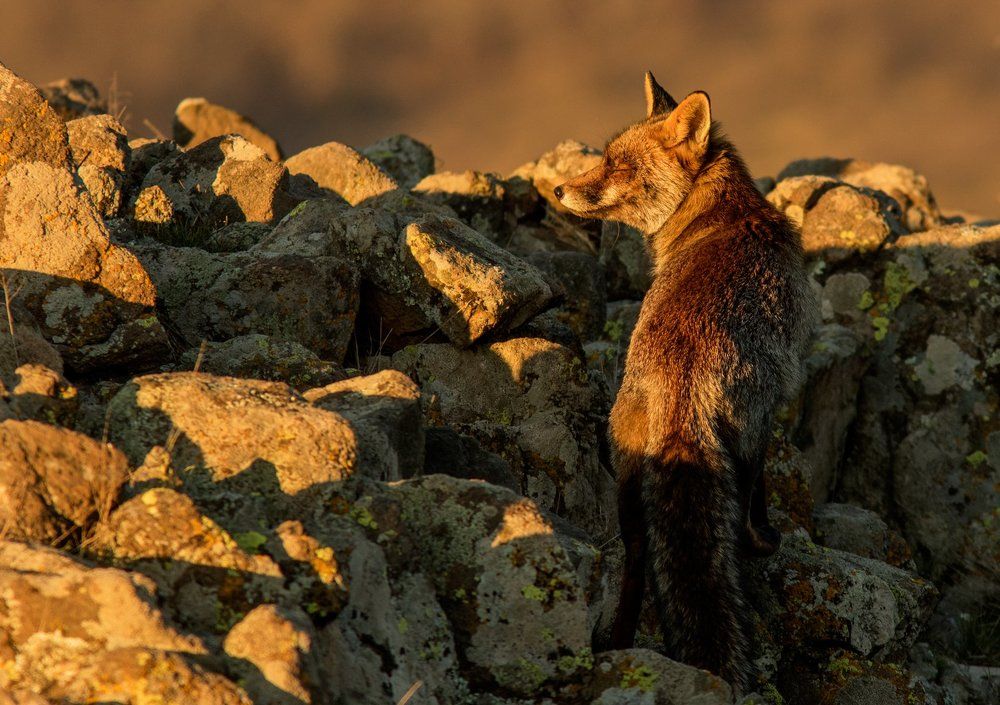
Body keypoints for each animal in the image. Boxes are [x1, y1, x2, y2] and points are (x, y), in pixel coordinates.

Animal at [554, 72, 816, 693]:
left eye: (617, 165)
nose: (556, 190)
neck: (720, 213)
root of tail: (681, 382)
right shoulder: (776, 404)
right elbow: (762, 495)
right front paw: (769, 539)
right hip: (745, 436)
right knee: (740, 510)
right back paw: (756, 547)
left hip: (628, 478)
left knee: (638, 558)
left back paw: (621, 643)